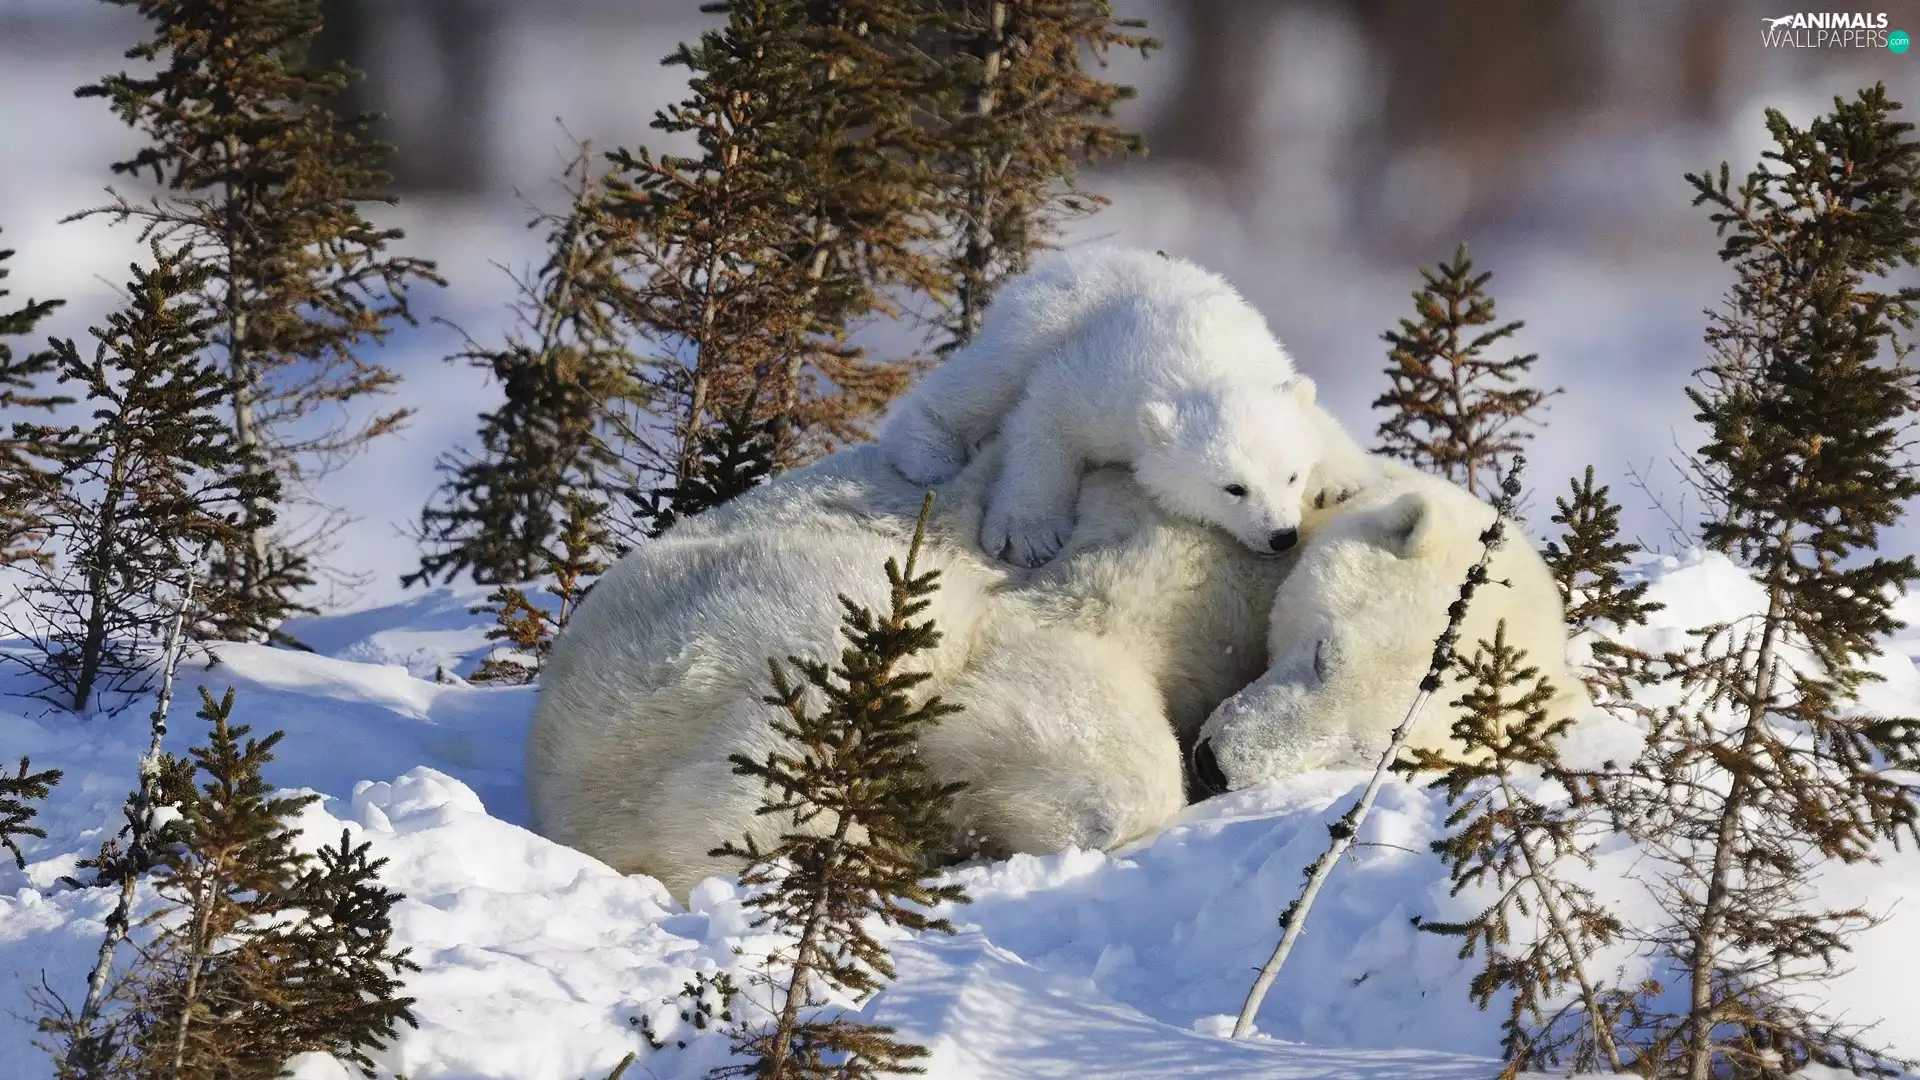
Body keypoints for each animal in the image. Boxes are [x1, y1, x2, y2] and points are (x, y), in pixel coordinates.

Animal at [880, 246, 1364, 568]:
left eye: (1292, 476)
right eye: (1233, 488)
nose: (1281, 536)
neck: (1205, 361)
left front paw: (1339, 481)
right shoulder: (1102, 382)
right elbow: (1046, 417)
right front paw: (1029, 534)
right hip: (1041, 319)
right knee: (987, 377)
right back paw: (928, 452)